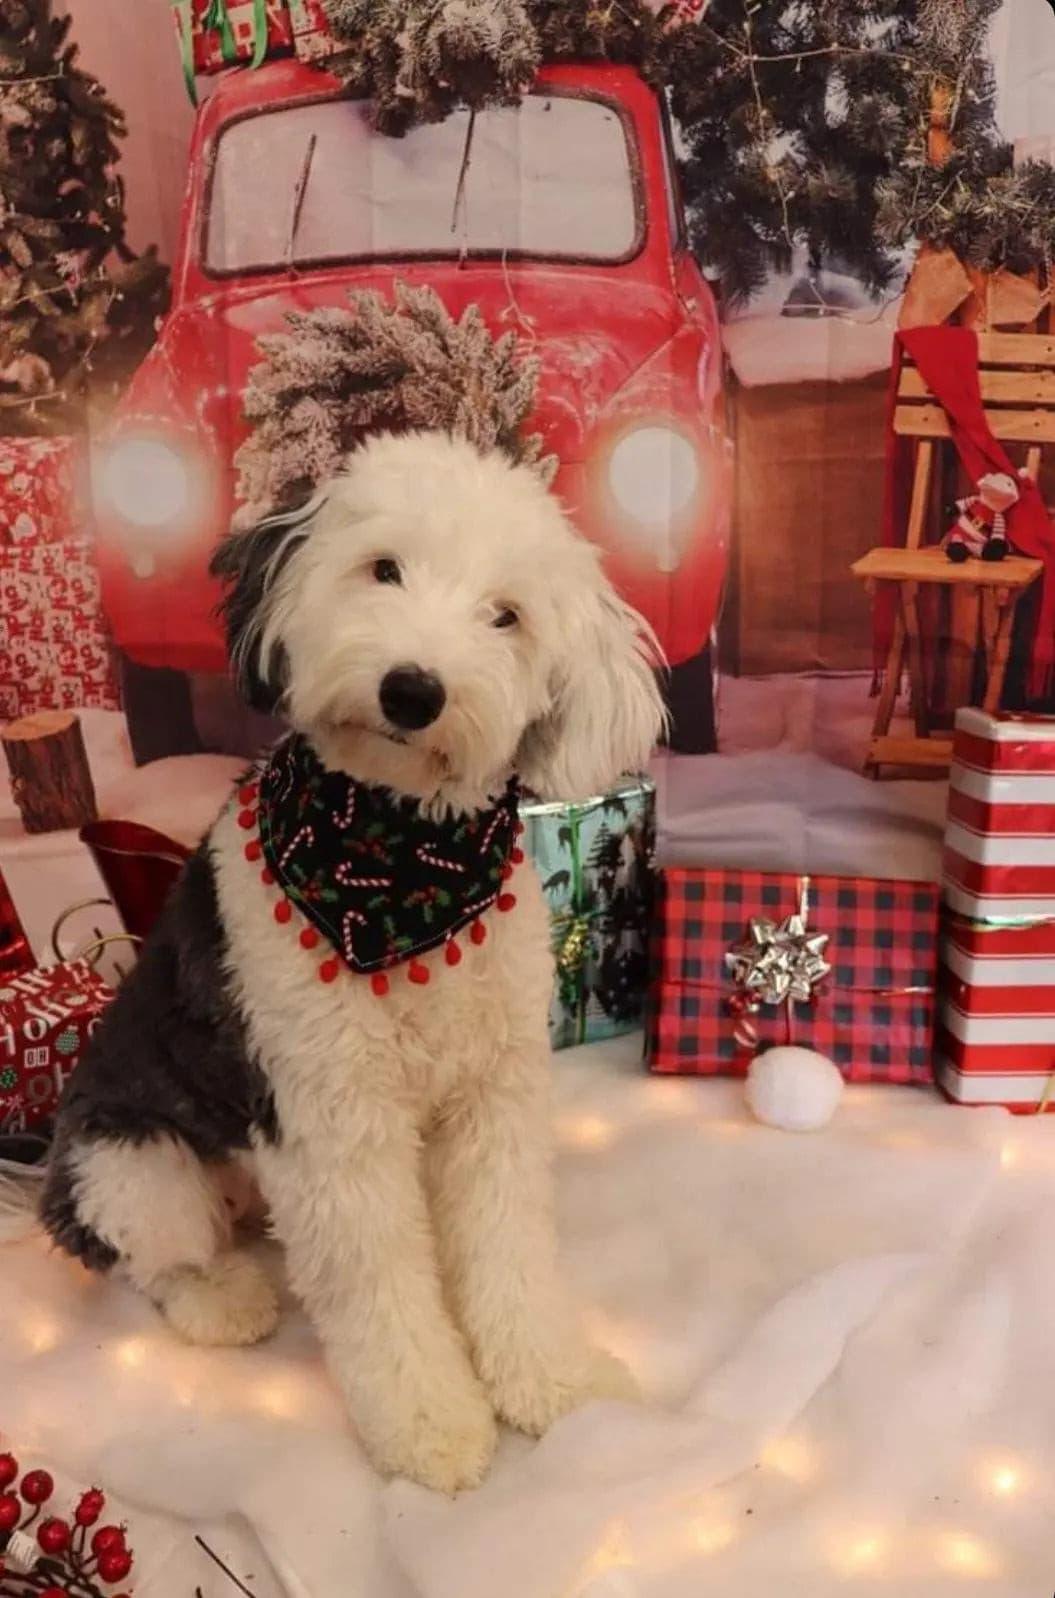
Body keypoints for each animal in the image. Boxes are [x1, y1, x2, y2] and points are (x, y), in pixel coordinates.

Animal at [28, 431, 664, 1489]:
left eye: (506, 615)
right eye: (383, 569)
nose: (413, 689)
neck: (397, 878)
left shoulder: (491, 1098)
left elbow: (508, 1246)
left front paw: (551, 1380)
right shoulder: (331, 1121)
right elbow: (379, 1288)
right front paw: (431, 1424)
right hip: (132, 1162)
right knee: (150, 1260)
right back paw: (222, 1298)